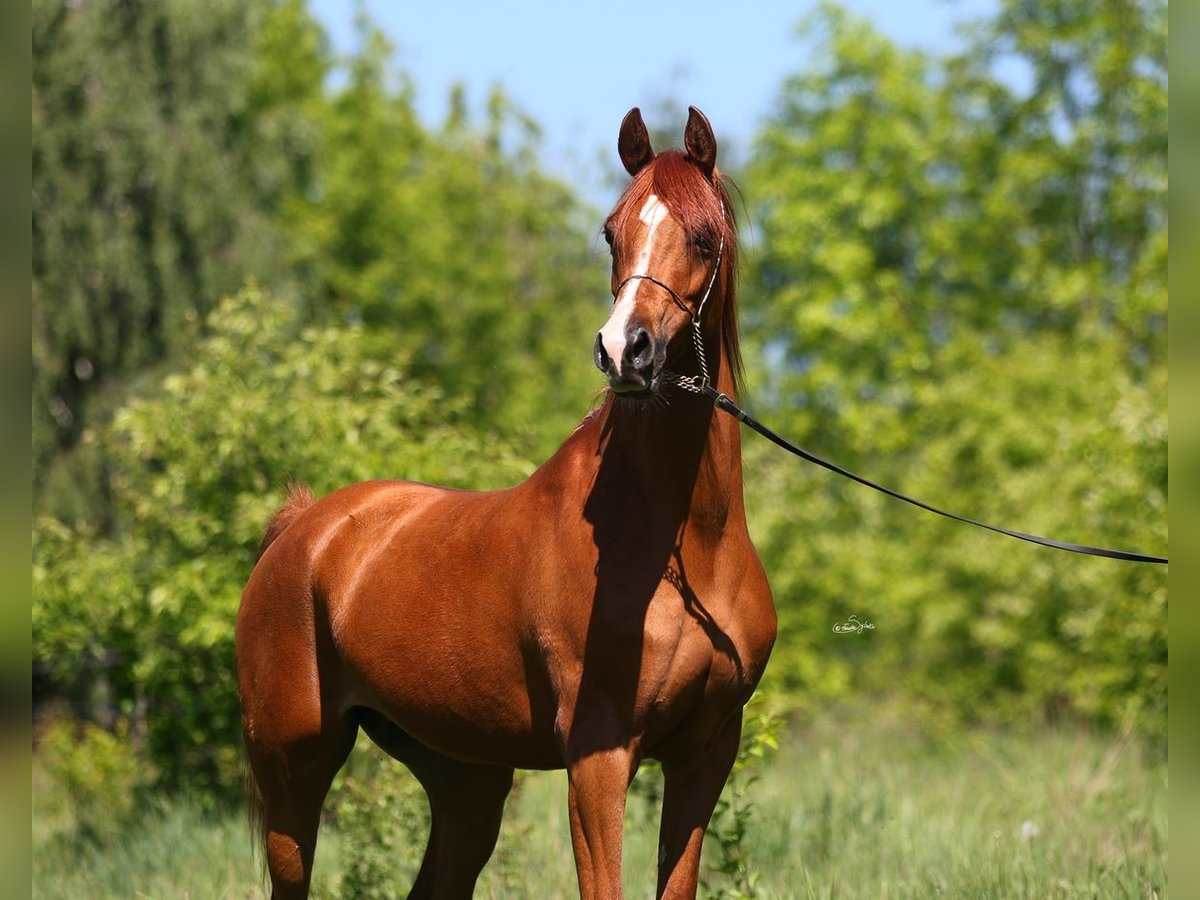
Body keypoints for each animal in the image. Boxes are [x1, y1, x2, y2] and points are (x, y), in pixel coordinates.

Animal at [236, 106, 777, 900]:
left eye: (704, 237)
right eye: (611, 232)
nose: (626, 350)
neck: (685, 550)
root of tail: (302, 527)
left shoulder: (705, 754)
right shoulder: (598, 757)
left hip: (465, 777)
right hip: (293, 770)